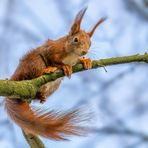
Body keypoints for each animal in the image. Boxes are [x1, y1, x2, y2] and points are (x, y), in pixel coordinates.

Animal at [4, 7, 106, 140]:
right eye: (76, 39)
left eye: (90, 43)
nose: (85, 51)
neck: (72, 54)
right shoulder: (52, 50)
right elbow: (53, 59)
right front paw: (65, 66)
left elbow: (78, 61)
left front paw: (85, 60)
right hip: (35, 62)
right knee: (33, 73)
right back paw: (46, 70)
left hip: (53, 86)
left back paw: (41, 96)